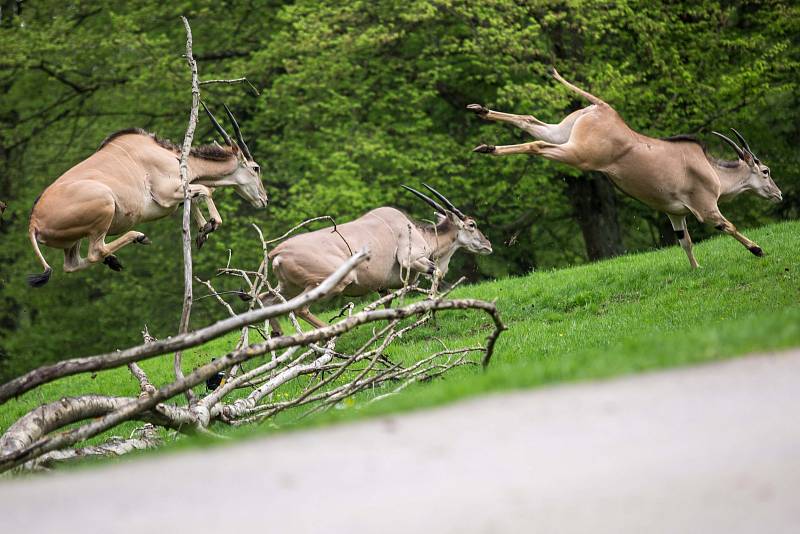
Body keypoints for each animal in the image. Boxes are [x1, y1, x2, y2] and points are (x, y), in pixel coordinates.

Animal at [26, 104, 268, 288]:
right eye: (256, 168)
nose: (264, 200)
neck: (170, 155)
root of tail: (34, 223)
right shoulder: (168, 193)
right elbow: (204, 190)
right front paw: (211, 224)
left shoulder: (177, 195)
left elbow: (194, 197)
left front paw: (203, 229)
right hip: (105, 205)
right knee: (96, 251)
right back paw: (137, 237)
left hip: (72, 242)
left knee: (72, 265)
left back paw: (112, 260)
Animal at [260, 185, 490, 336]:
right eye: (472, 224)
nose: (488, 244)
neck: (420, 233)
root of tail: (278, 252)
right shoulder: (412, 261)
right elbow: (437, 274)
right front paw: (425, 316)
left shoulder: (381, 286)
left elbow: (388, 304)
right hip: (328, 283)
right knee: (299, 308)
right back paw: (329, 334)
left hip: (288, 287)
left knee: (267, 302)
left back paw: (278, 336)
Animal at [468, 69, 780, 270]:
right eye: (765, 171)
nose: (778, 194)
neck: (710, 168)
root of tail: (602, 107)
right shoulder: (706, 209)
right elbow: (728, 226)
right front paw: (757, 249)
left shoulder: (674, 214)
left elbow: (685, 242)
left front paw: (696, 269)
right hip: (578, 155)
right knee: (536, 145)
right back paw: (487, 147)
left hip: (562, 136)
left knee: (529, 120)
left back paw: (481, 116)